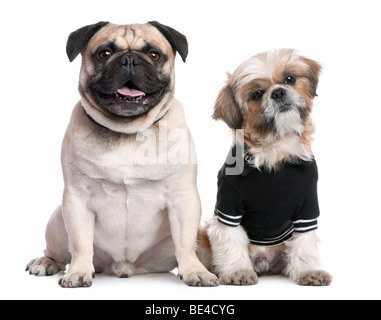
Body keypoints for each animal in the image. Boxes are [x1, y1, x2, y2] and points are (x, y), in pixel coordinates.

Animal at [197, 49, 332, 284]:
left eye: (289, 79)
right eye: (257, 93)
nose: (278, 93)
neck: (276, 149)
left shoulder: (307, 208)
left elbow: (304, 243)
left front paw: (308, 272)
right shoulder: (228, 208)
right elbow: (231, 242)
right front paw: (237, 272)